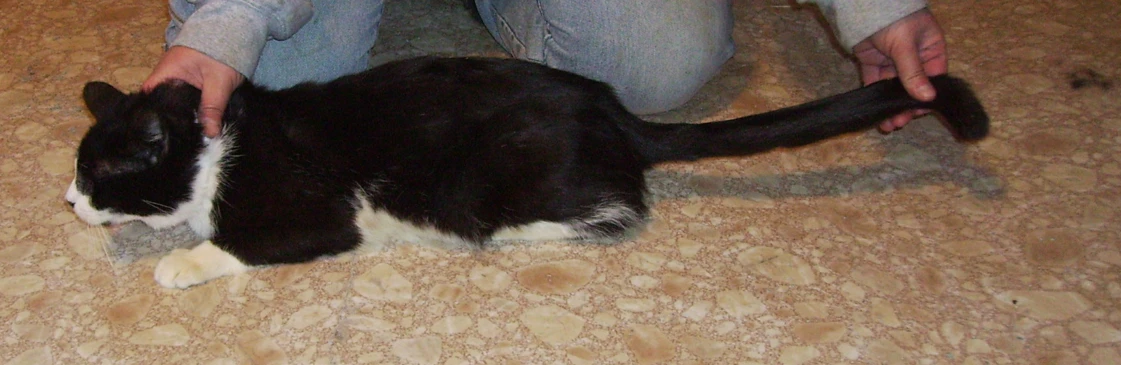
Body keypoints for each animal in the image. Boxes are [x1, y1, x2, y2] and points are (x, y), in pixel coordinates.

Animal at [65, 56, 986, 288]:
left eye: (99, 174)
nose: (68, 200)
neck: (218, 140)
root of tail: (615, 113)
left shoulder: (319, 210)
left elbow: (240, 239)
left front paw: (181, 262)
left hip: (497, 179)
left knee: (617, 207)